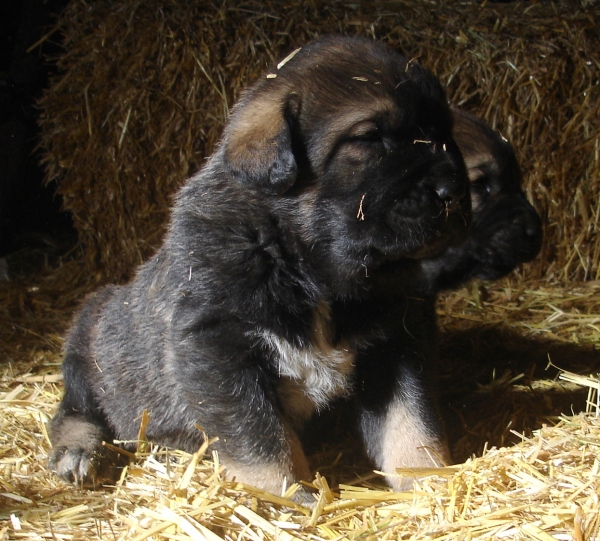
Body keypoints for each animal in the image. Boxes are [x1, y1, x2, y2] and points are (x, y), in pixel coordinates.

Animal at [48, 34, 474, 498]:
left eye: (444, 136)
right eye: (370, 138)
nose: (453, 191)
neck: (306, 264)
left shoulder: (398, 340)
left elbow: (410, 421)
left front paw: (429, 481)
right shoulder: (217, 347)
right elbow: (260, 438)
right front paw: (285, 495)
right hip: (86, 344)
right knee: (74, 411)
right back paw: (78, 452)